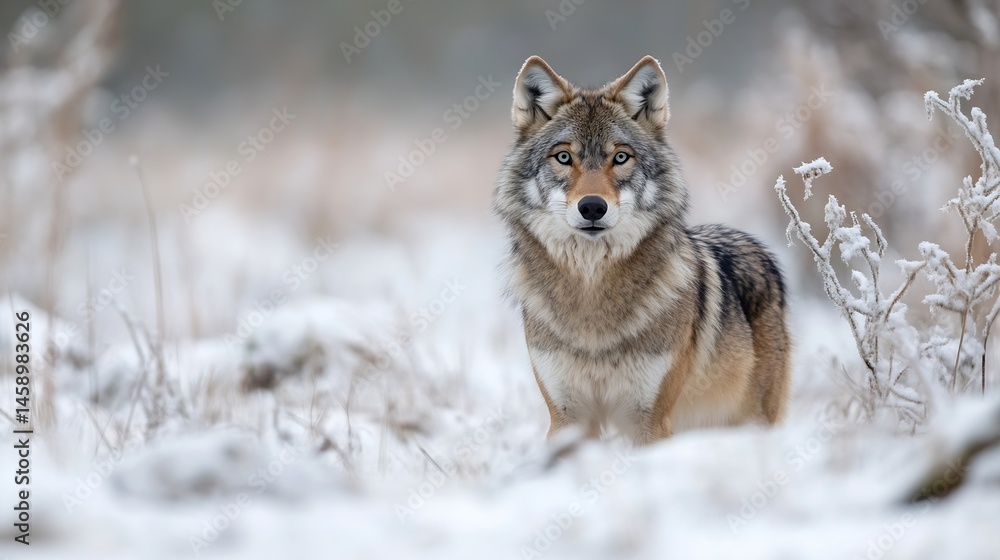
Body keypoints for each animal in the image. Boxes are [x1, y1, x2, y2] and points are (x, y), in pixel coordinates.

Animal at [492, 56, 790, 444]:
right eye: (564, 157)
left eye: (621, 157)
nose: (592, 207)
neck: (592, 298)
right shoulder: (567, 418)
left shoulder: (650, 420)